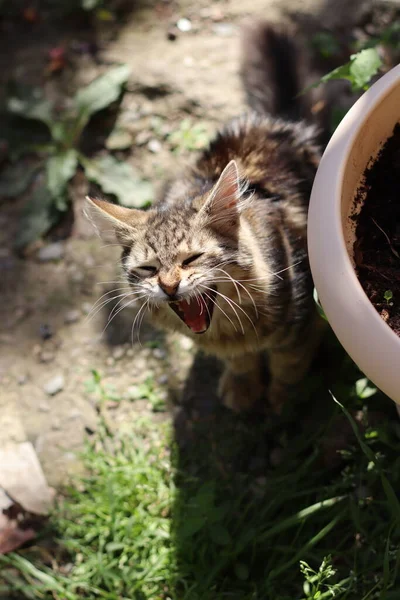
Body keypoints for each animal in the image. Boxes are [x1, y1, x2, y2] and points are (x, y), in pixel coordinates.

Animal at [86, 22, 324, 412]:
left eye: (192, 258)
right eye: (148, 269)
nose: (169, 286)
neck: (232, 331)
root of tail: (273, 120)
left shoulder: (302, 323)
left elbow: (287, 365)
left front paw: (283, 400)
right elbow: (240, 362)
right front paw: (242, 386)